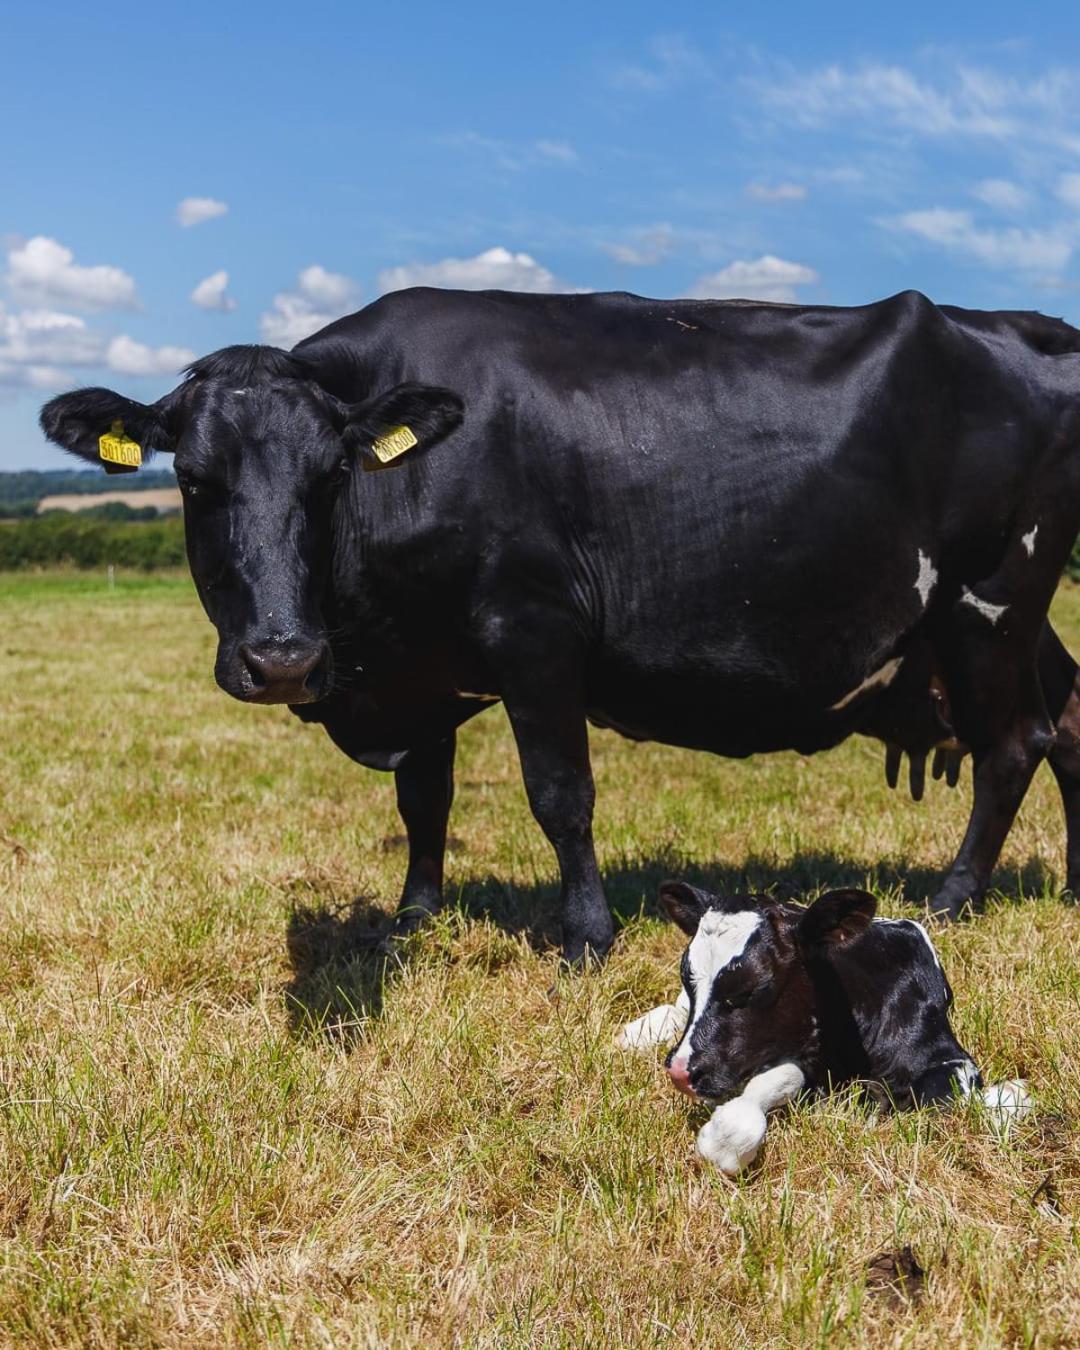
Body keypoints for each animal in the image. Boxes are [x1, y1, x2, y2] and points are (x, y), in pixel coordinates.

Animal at [40, 287, 1080, 961]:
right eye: (192, 479)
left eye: (332, 474)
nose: (284, 659)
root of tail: (1027, 325)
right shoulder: (424, 664)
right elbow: (424, 800)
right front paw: (415, 916)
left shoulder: (534, 629)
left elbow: (559, 793)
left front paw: (585, 935)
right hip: (1014, 623)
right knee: (1065, 724)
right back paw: (1070, 880)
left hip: (990, 601)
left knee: (1013, 746)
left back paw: (952, 897)